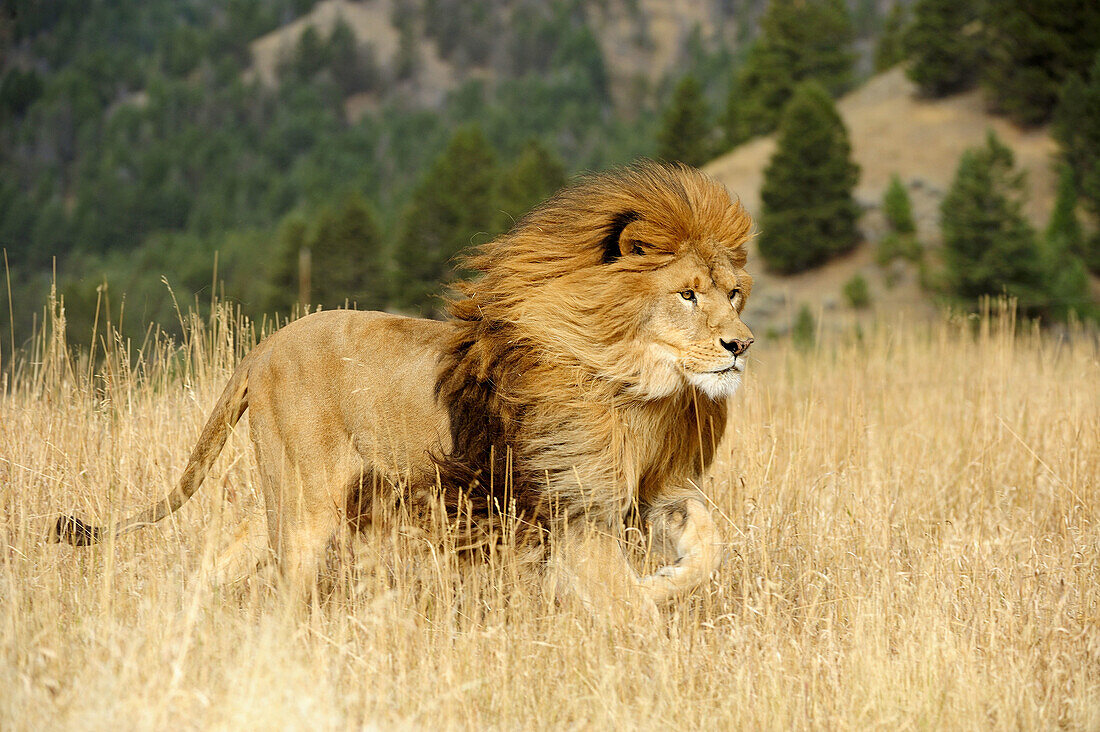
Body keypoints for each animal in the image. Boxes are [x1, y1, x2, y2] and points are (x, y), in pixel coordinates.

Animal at [53, 161, 756, 616]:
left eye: (733, 293)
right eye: (687, 294)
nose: (740, 345)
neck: (642, 389)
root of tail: (259, 350)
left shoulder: (657, 488)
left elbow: (711, 545)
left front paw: (665, 581)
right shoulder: (573, 506)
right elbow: (620, 599)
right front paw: (643, 613)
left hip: (306, 495)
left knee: (230, 555)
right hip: (308, 501)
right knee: (285, 584)